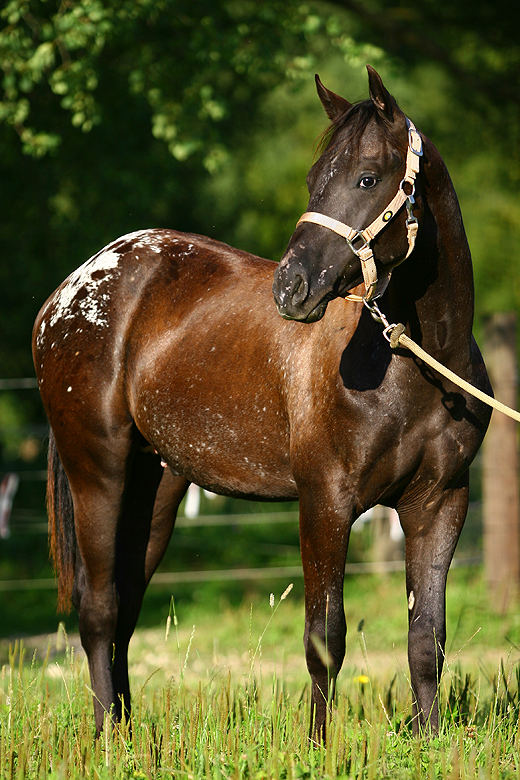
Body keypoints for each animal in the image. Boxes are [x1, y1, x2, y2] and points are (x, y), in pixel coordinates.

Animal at [33, 65, 492, 736]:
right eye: (313, 178)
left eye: (367, 177)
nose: (291, 287)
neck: (417, 368)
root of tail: (73, 290)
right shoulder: (325, 501)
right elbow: (324, 638)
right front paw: (319, 745)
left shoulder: (440, 503)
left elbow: (424, 639)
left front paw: (430, 741)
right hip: (98, 472)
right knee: (98, 613)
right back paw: (105, 738)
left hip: (156, 488)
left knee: (123, 610)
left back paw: (126, 728)